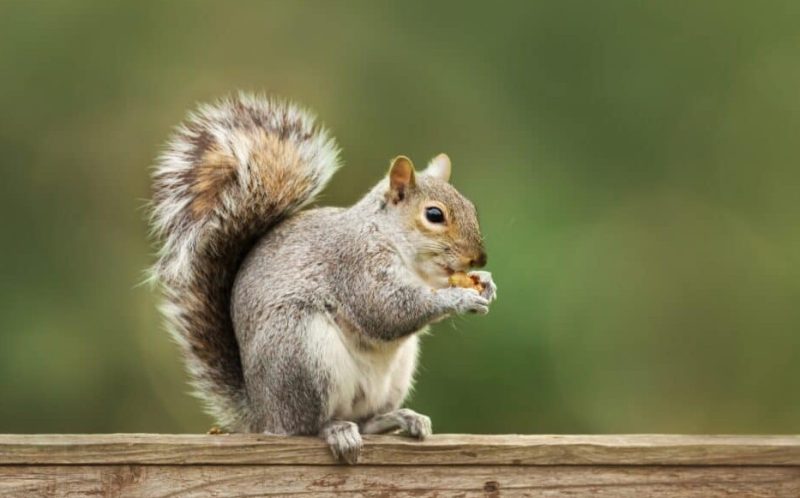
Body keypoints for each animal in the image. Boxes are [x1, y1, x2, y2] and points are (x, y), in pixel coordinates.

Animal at [149, 93, 497, 464]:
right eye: (434, 215)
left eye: (471, 208)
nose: (479, 258)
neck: (395, 243)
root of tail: (263, 413)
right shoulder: (354, 265)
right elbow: (386, 311)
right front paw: (459, 298)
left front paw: (484, 282)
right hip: (302, 353)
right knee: (307, 424)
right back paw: (336, 430)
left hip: (393, 373)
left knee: (366, 420)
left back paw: (398, 418)